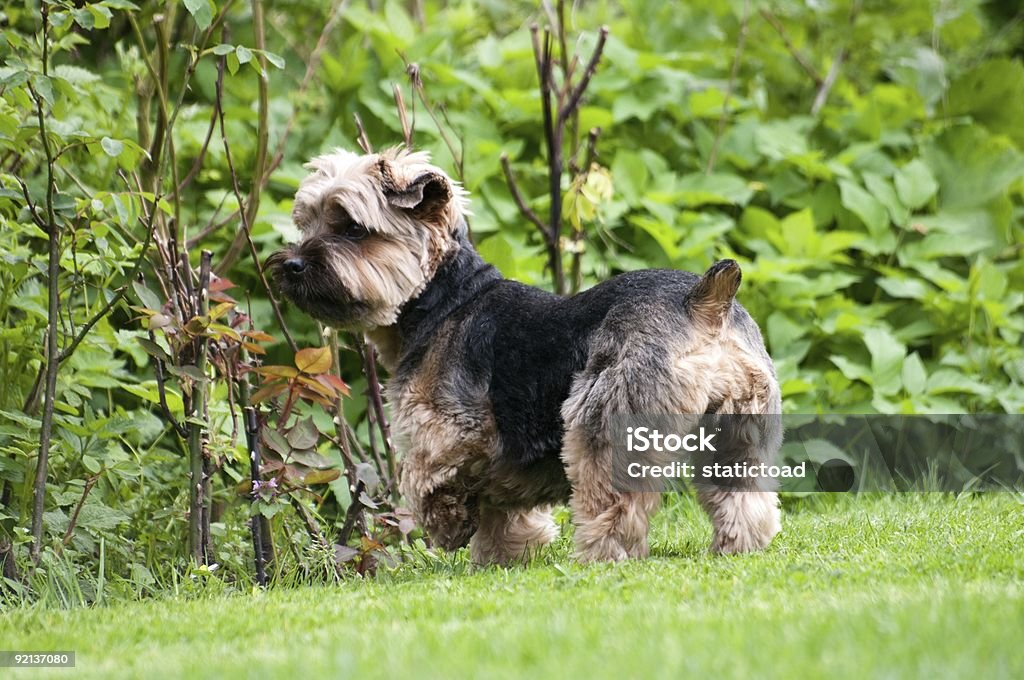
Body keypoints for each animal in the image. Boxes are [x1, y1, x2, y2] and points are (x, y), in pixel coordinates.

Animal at [268, 147, 778, 561]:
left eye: (353, 229)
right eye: (307, 222)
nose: (290, 265)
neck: (446, 300)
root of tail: (702, 302)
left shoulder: (448, 428)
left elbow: (426, 476)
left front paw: (448, 524)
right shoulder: (508, 460)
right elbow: (504, 507)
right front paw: (504, 556)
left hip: (609, 414)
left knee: (615, 499)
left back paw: (600, 554)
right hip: (741, 427)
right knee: (745, 496)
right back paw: (740, 547)